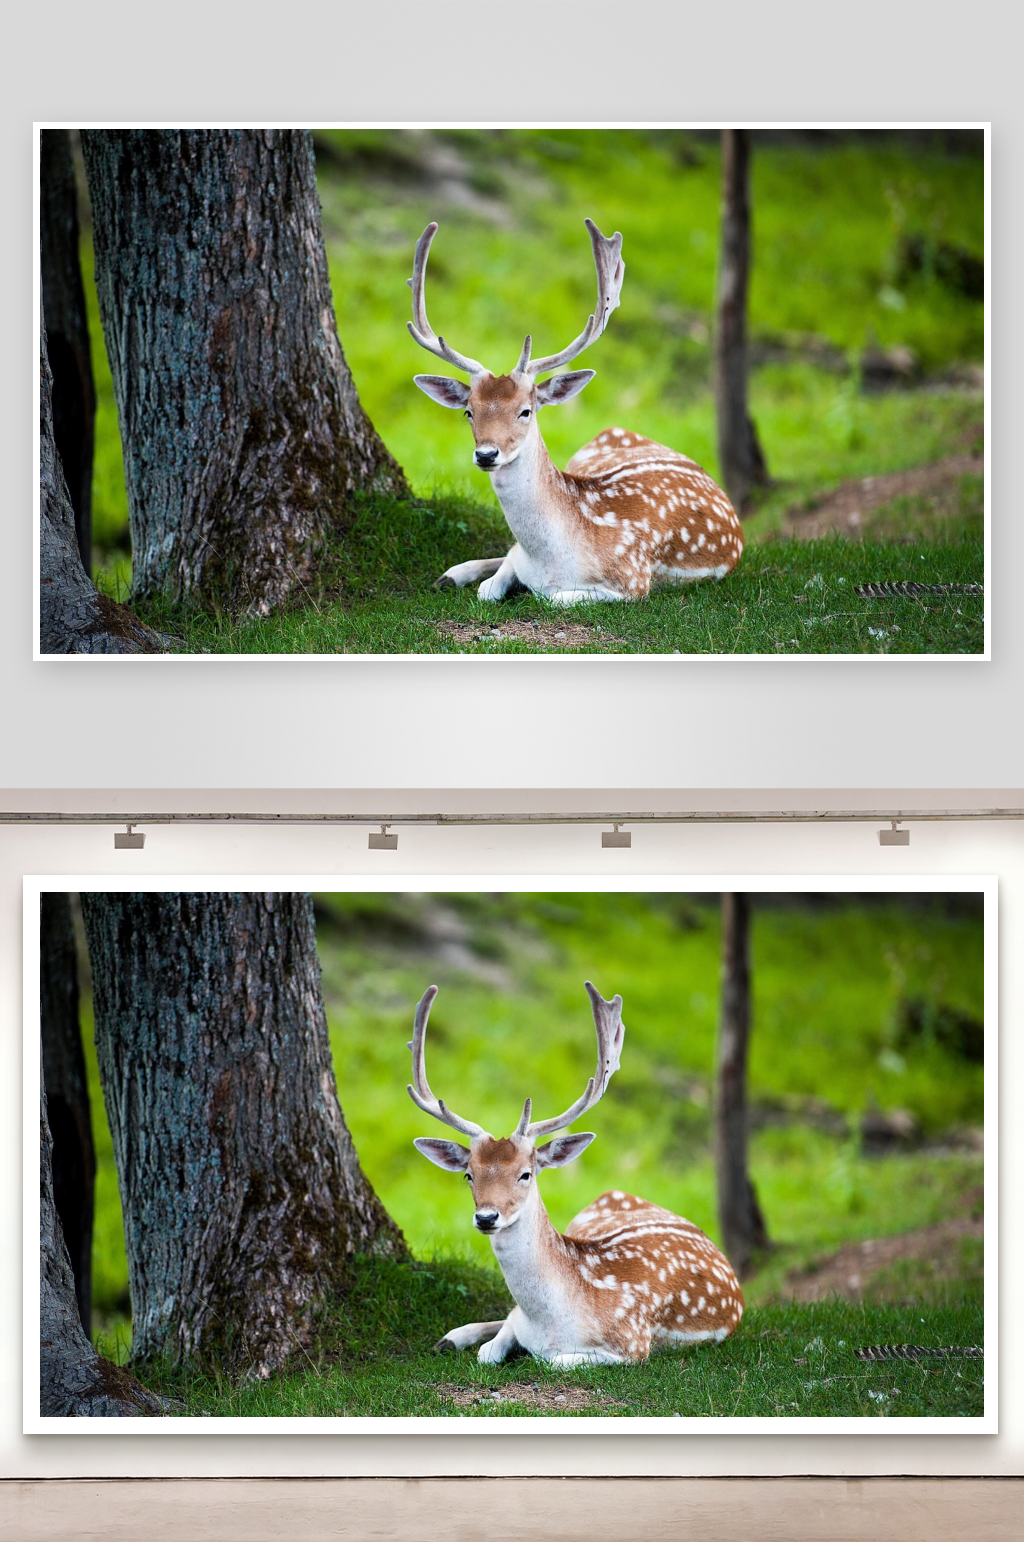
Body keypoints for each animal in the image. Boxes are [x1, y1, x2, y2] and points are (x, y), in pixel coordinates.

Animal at [408, 219, 744, 605]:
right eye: (469, 412)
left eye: (526, 411)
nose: (487, 454)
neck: (552, 558)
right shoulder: (519, 558)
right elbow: (490, 586)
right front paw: (466, 576)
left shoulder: (633, 581)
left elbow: (550, 597)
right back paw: (451, 574)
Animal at [408, 981, 744, 1367]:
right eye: (469, 1175)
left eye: (526, 1174)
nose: (486, 1217)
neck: (551, 1322)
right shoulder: (519, 1321)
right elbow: (490, 1349)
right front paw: (464, 1338)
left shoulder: (633, 1344)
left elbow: (550, 1360)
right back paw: (451, 1337)